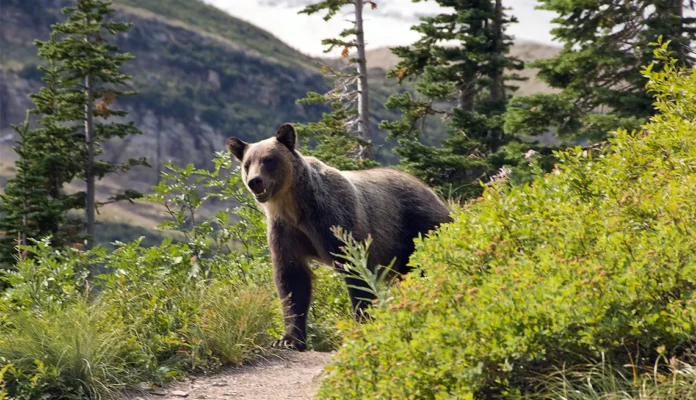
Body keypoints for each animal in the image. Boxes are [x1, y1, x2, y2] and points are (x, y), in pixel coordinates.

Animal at [226, 123, 452, 351]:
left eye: (268, 160)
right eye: (247, 164)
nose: (255, 181)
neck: (294, 207)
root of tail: (432, 191)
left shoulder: (334, 218)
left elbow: (356, 269)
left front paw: (363, 324)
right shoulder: (285, 231)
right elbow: (292, 279)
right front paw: (288, 338)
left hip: (416, 227)